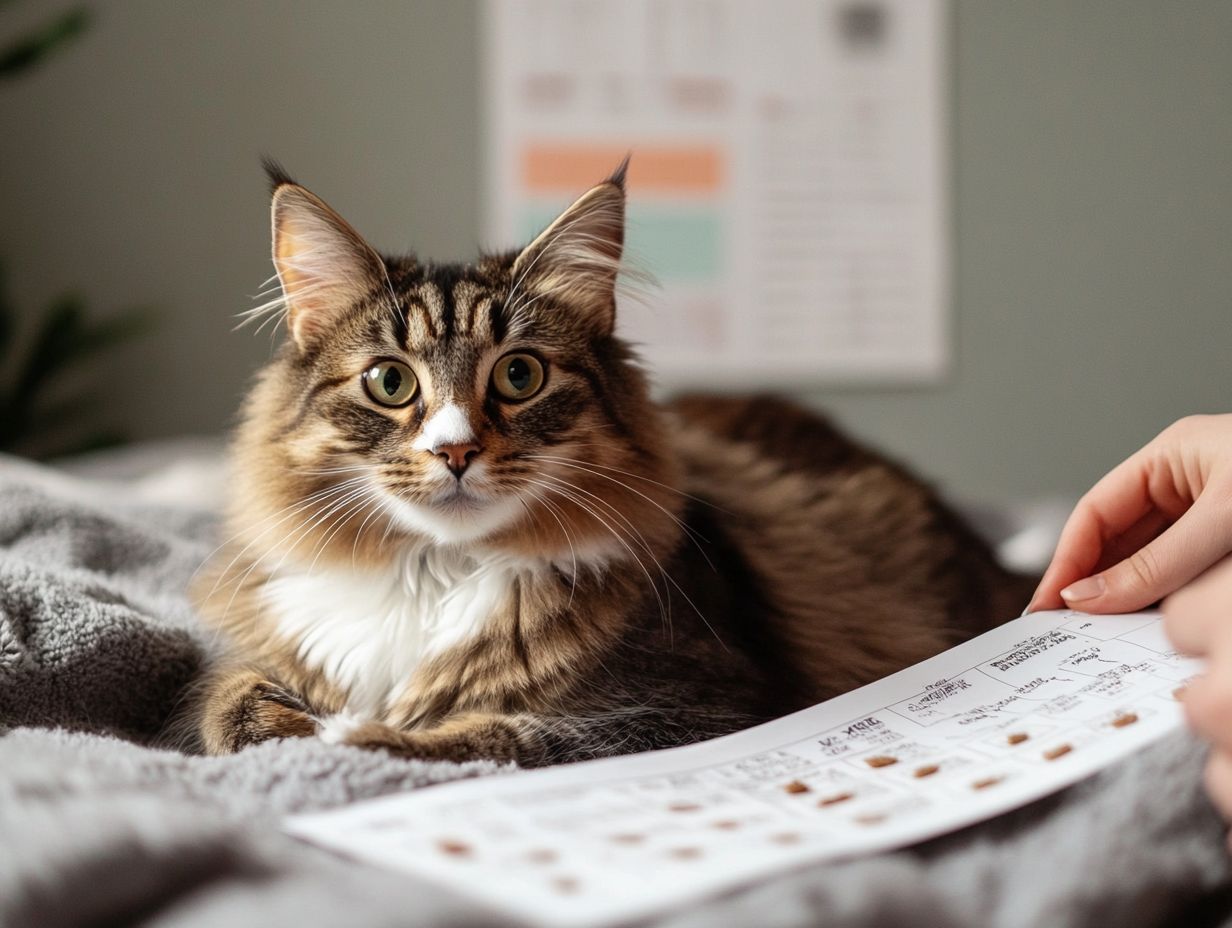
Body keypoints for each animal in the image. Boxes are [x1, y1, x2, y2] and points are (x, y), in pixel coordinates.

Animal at [189, 158, 1039, 764]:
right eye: (390, 383)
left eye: (519, 375)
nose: (456, 449)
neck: (436, 574)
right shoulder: (254, 659)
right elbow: (228, 708)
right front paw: (291, 723)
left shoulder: (701, 709)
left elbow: (502, 736)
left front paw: (352, 735)